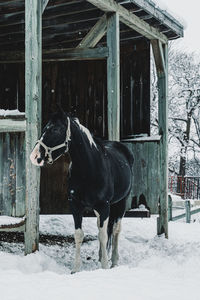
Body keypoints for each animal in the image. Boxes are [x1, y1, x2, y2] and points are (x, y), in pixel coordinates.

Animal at [30, 109, 133, 274]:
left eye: (55, 129)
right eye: (45, 128)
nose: (34, 156)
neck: (89, 168)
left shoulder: (104, 206)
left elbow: (103, 235)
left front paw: (105, 266)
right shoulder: (76, 205)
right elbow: (79, 235)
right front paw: (76, 269)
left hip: (121, 202)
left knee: (116, 229)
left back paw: (114, 261)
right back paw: (100, 256)